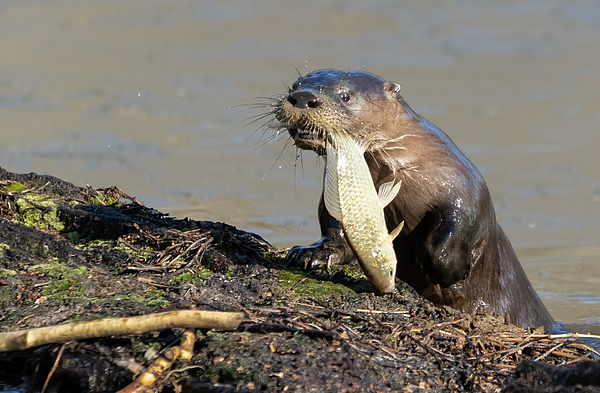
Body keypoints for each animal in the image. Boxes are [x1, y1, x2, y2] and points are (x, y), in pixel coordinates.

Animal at [270, 69, 556, 330]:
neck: (404, 163)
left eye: (345, 96)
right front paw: (312, 252)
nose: (303, 97)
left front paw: (453, 271)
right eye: (294, 85)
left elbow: (457, 229)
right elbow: (332, 221)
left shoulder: (466, 188)